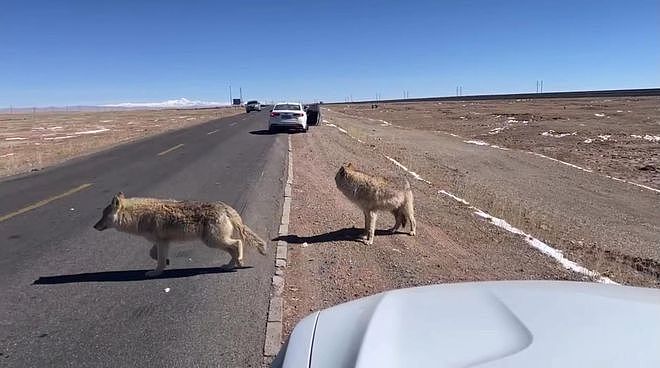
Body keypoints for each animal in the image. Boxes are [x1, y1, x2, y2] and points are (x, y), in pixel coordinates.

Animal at [93, 193, 268, 276]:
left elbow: (159, 260)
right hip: (215, 241)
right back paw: (231, 265)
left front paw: (156, 272)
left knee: (237, 243)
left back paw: (238, 261)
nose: (94, 226)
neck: (139, 215)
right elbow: (153, 254)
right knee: (234, 247)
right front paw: (166, 263)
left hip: (212, 241)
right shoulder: (162, 242)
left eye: (102, 216)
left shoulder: (162, 241)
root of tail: (226, 207)